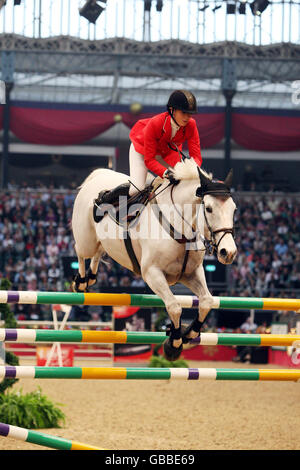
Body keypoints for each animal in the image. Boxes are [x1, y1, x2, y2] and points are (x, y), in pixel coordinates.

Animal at [71, 160, 237, 362]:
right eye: (209, 208)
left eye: (234, 209)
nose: (228, 252)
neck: (180, 225)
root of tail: (97, 176)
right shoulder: (152, 273)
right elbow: (174, 307)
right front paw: (174, 344)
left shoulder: (191, 273)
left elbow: (206, 301)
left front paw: (188, 334)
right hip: (86, 239)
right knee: (81, 251)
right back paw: (80, 282)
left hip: (103, 242)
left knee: (99, 251)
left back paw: (92, 277)